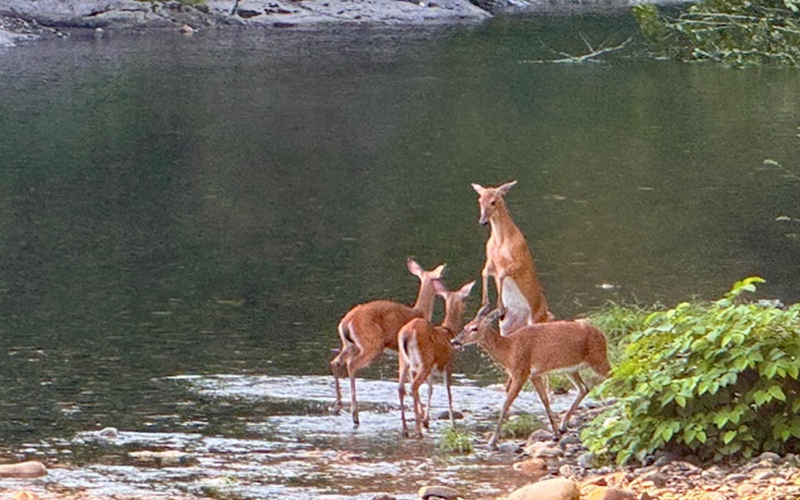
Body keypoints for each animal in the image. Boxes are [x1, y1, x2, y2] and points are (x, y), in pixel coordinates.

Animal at [328, 258, 446, 426]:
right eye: (441, 278)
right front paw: (421, 413)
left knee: (336, 362)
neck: (420, 312)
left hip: (351, 345)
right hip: (372, 344)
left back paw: (338, 406)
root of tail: (347, 321)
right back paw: (354, 413)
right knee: (351, 364)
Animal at [396, 280, 472, 440]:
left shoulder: (430, 368)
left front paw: (426, 421)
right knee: (413, 386)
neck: (448, 331)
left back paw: (406, 430)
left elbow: (430, 389)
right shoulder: (448, 364)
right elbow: (448, 392)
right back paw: (417, 431)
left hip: (405, 361)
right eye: (464, 302)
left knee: (401, 388)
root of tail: (407, 334)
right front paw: (453, 424)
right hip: (424, 360)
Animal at [450, 306, 612, 448]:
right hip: (571, 368)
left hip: (597, 358)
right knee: (584, 388)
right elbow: (545, 400)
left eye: (474, 328)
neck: (508, 350)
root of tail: (602, 334)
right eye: (465, 325)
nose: (454, 341)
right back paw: (563, 425)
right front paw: (555, 433)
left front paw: (493, 441)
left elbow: (506, 404)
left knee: (612, 376)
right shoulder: (534, 374)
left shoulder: (520, 371)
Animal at [472, 181, 552, 336]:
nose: (482, 221)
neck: (500, 243)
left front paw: (500, 305)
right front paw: (485, 302)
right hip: (507, 326)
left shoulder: (519, 259)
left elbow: (502, 274)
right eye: (479, 200)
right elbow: (484, 272)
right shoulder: (490, 261)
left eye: (493, 201)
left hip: (537, 318)